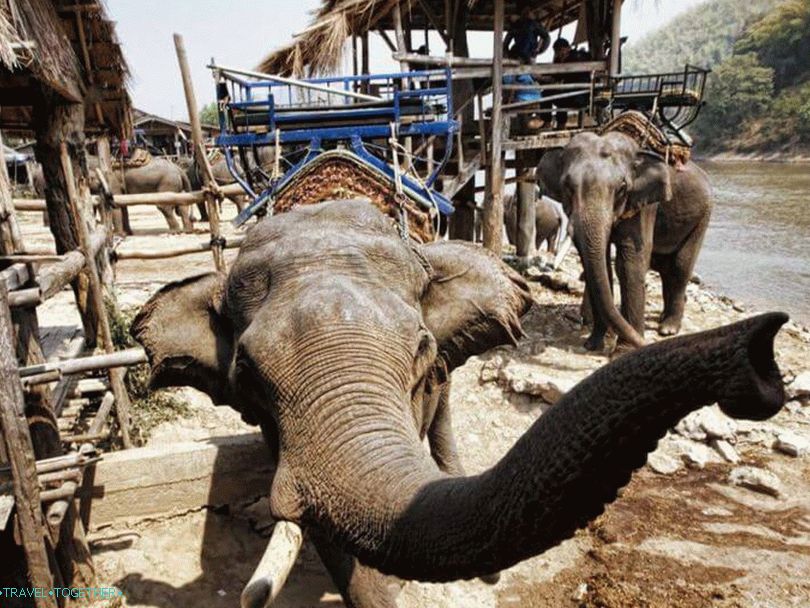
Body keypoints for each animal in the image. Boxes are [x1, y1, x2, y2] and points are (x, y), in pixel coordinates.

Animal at [538, 131, 713, 351]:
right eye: (567, 187)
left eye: (622, 188)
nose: (644, 344)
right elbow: (601, 263)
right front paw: (593, 344)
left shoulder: (644, 204)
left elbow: (630, 263)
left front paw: (623, 350)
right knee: (664, 267)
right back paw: (662, 319)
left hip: (702, 217)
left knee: (680, 267)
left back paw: (668, 329)